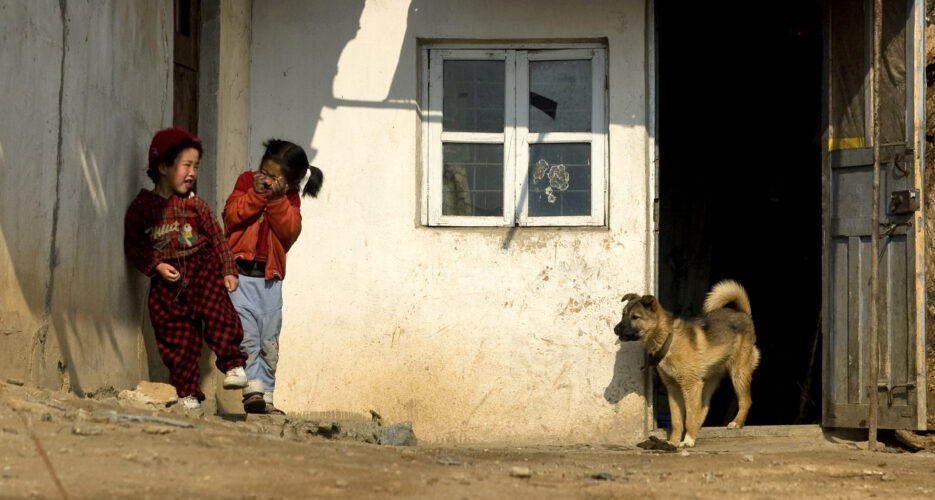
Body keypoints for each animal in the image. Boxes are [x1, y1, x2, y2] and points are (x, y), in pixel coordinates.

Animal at [616, 280, 760, 448]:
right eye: (623, 314)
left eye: (635, 317)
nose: (615, 329)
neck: (668, 339)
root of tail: (743, 313)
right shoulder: (673, 389)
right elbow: (677, 420)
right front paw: (672, 442)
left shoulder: (690, 385)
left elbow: (689, 417)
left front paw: (688, 440)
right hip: (707, 381)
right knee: (704, 407)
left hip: (739, 373)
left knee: (745, 401)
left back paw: (736, 422)